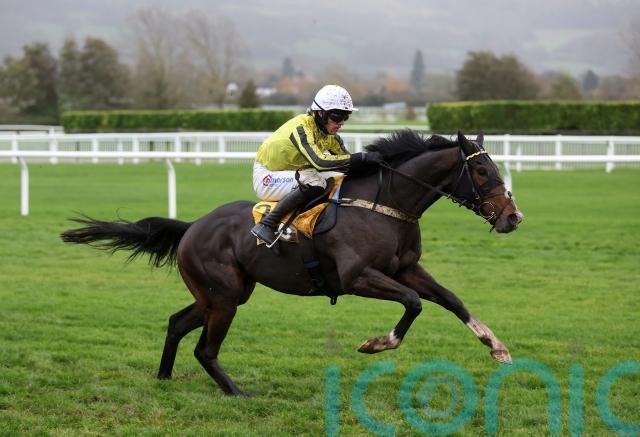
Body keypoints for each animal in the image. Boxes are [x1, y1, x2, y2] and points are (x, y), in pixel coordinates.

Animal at [61, 130, 524, 396]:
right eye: (482, 171)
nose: (513, 217)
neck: (384, 203)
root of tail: (192, 226)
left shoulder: (405, 268)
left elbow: (450, 299)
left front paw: (495, 345)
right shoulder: (358, 277)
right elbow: (413, 302)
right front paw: (376, 343)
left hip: (223, 294)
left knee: (177, 323)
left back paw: (163, 378)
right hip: (224, 297)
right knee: (206, 348)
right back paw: (237, 393)